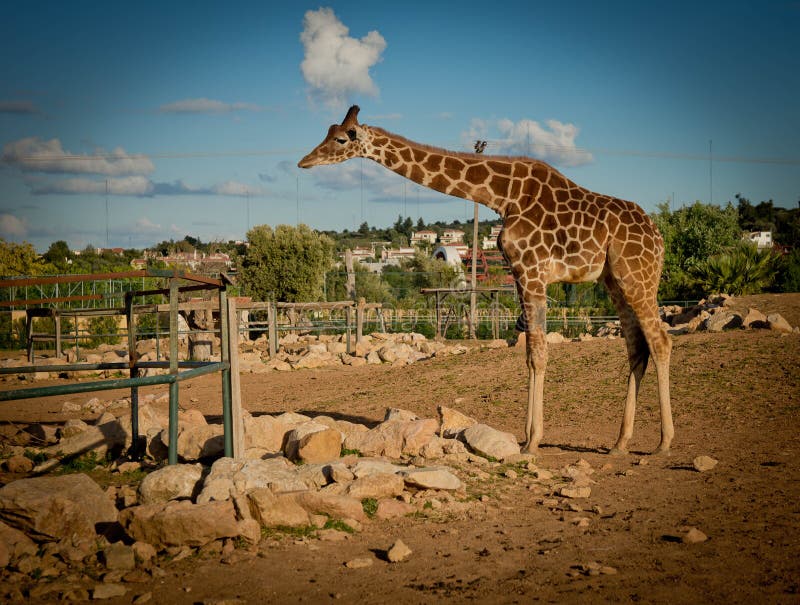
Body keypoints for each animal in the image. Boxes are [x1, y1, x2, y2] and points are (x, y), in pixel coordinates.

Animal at [300, 106, 676, 452]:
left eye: (341, 138)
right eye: (328, 130)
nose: (305, 161)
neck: (503, 195)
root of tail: (658, 237)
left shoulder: (532, 269)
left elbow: (538, 353)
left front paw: (532, 442)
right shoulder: (521, 272)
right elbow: (528, 354)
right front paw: (526, 437)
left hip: (638, 277)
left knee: (660, 341)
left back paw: (663, 442)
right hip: (614, 280)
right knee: (636, 348)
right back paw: (620, 442)